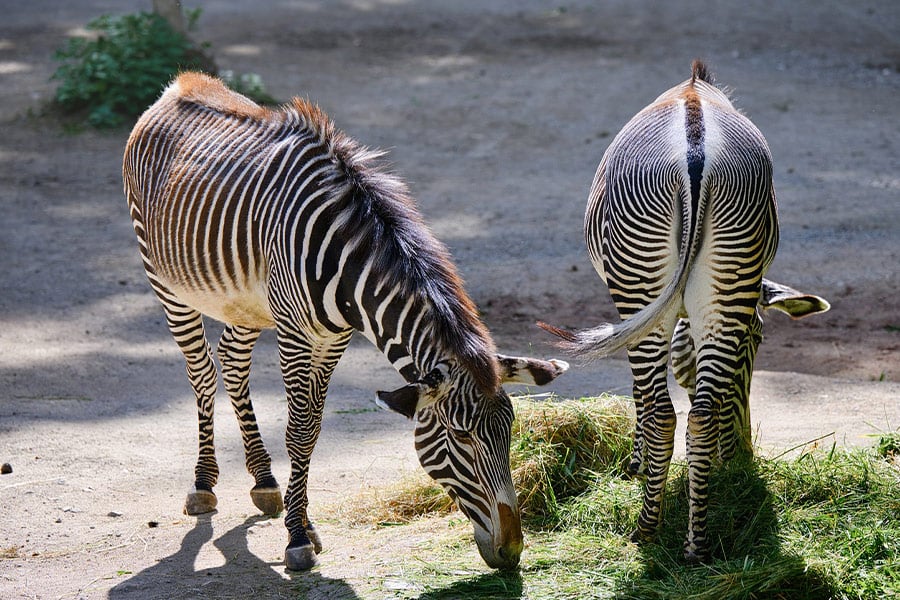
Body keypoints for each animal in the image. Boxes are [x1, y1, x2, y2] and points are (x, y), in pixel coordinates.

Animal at [122, 72, 569, 572]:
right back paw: (203, 484)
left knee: (234, 365)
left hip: (246, 303)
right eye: (460, 436)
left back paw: (263, 480)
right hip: (165, 282)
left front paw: (303, 522)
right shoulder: (295, 335)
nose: (511, 552)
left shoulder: (333, 340)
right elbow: (298, 431)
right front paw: (297, 539)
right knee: (201, 371)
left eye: (510, 432)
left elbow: (313, 430)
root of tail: (182, 85)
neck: (349, 266)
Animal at [540, 61, 828, 561]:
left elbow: (641, 393)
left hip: (639, 279)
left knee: (661, 412)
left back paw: (646, 530)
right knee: (703, 413)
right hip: (731, 273)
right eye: (757, 343)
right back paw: (698, 543)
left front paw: (634, 465)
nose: (742, 456)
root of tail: (697, 151)